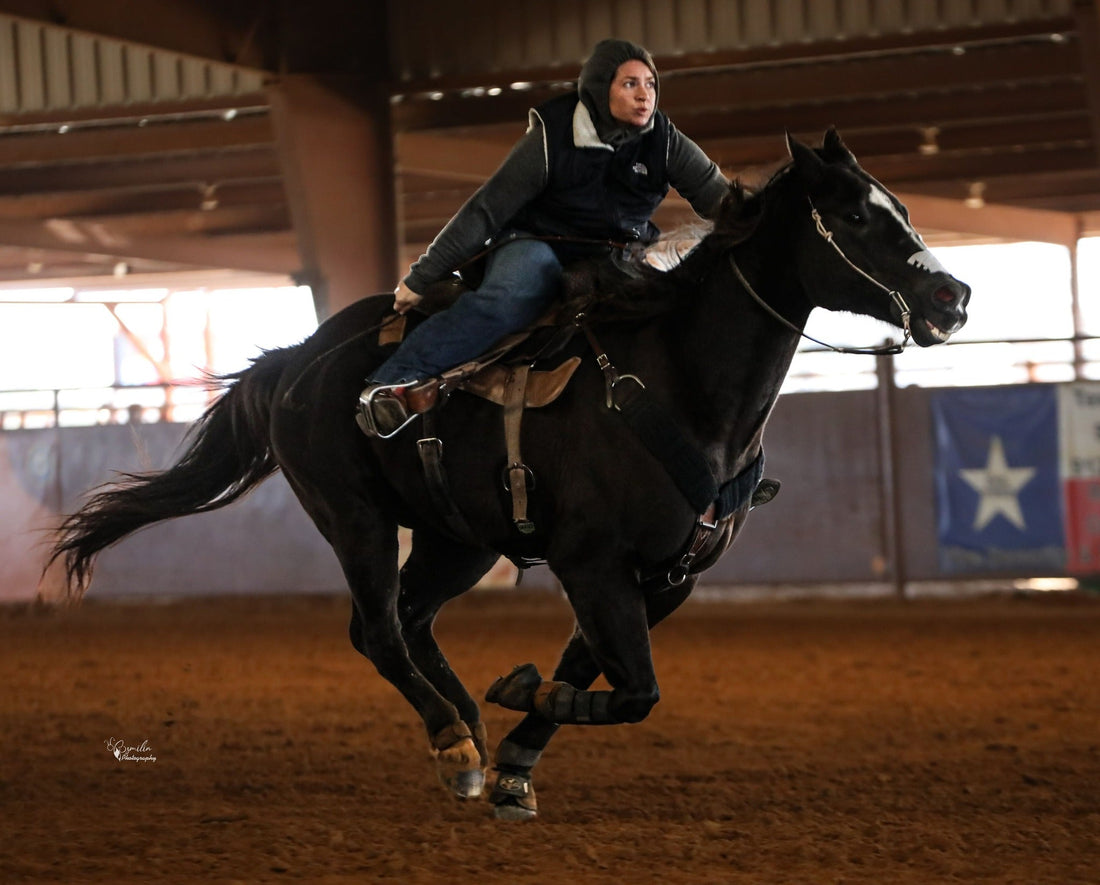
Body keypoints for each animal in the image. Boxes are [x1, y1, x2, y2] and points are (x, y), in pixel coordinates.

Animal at [45, 133, 972, 822]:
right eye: (854, 214)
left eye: (901, 208)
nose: (954, 297)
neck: (680, 384)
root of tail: (298, 361)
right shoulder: (592, 563)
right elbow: (630, 688)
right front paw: (515, 695)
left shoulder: (664, 577)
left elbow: (597, 671)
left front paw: (518, 758)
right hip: (354, 517)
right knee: (377, 629)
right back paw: (454, 741)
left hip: (456, 537)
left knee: (411, 620)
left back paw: (467, 732)